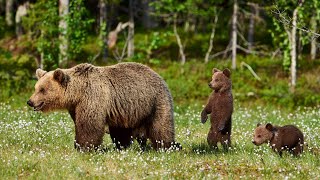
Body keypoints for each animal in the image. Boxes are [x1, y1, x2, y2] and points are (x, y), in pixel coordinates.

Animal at [26, 62, 180, 151]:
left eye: (42, 90)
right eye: (36, 88)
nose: (30, 101)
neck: (77, 92)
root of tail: (158, 75)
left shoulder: (92, 97)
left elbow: (89, 125)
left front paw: (84, 147)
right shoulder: (76, 106)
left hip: (155, 101)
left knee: (161, 126)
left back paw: (168, 146)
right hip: (127, 110)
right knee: (121, 131)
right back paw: (122, 146)